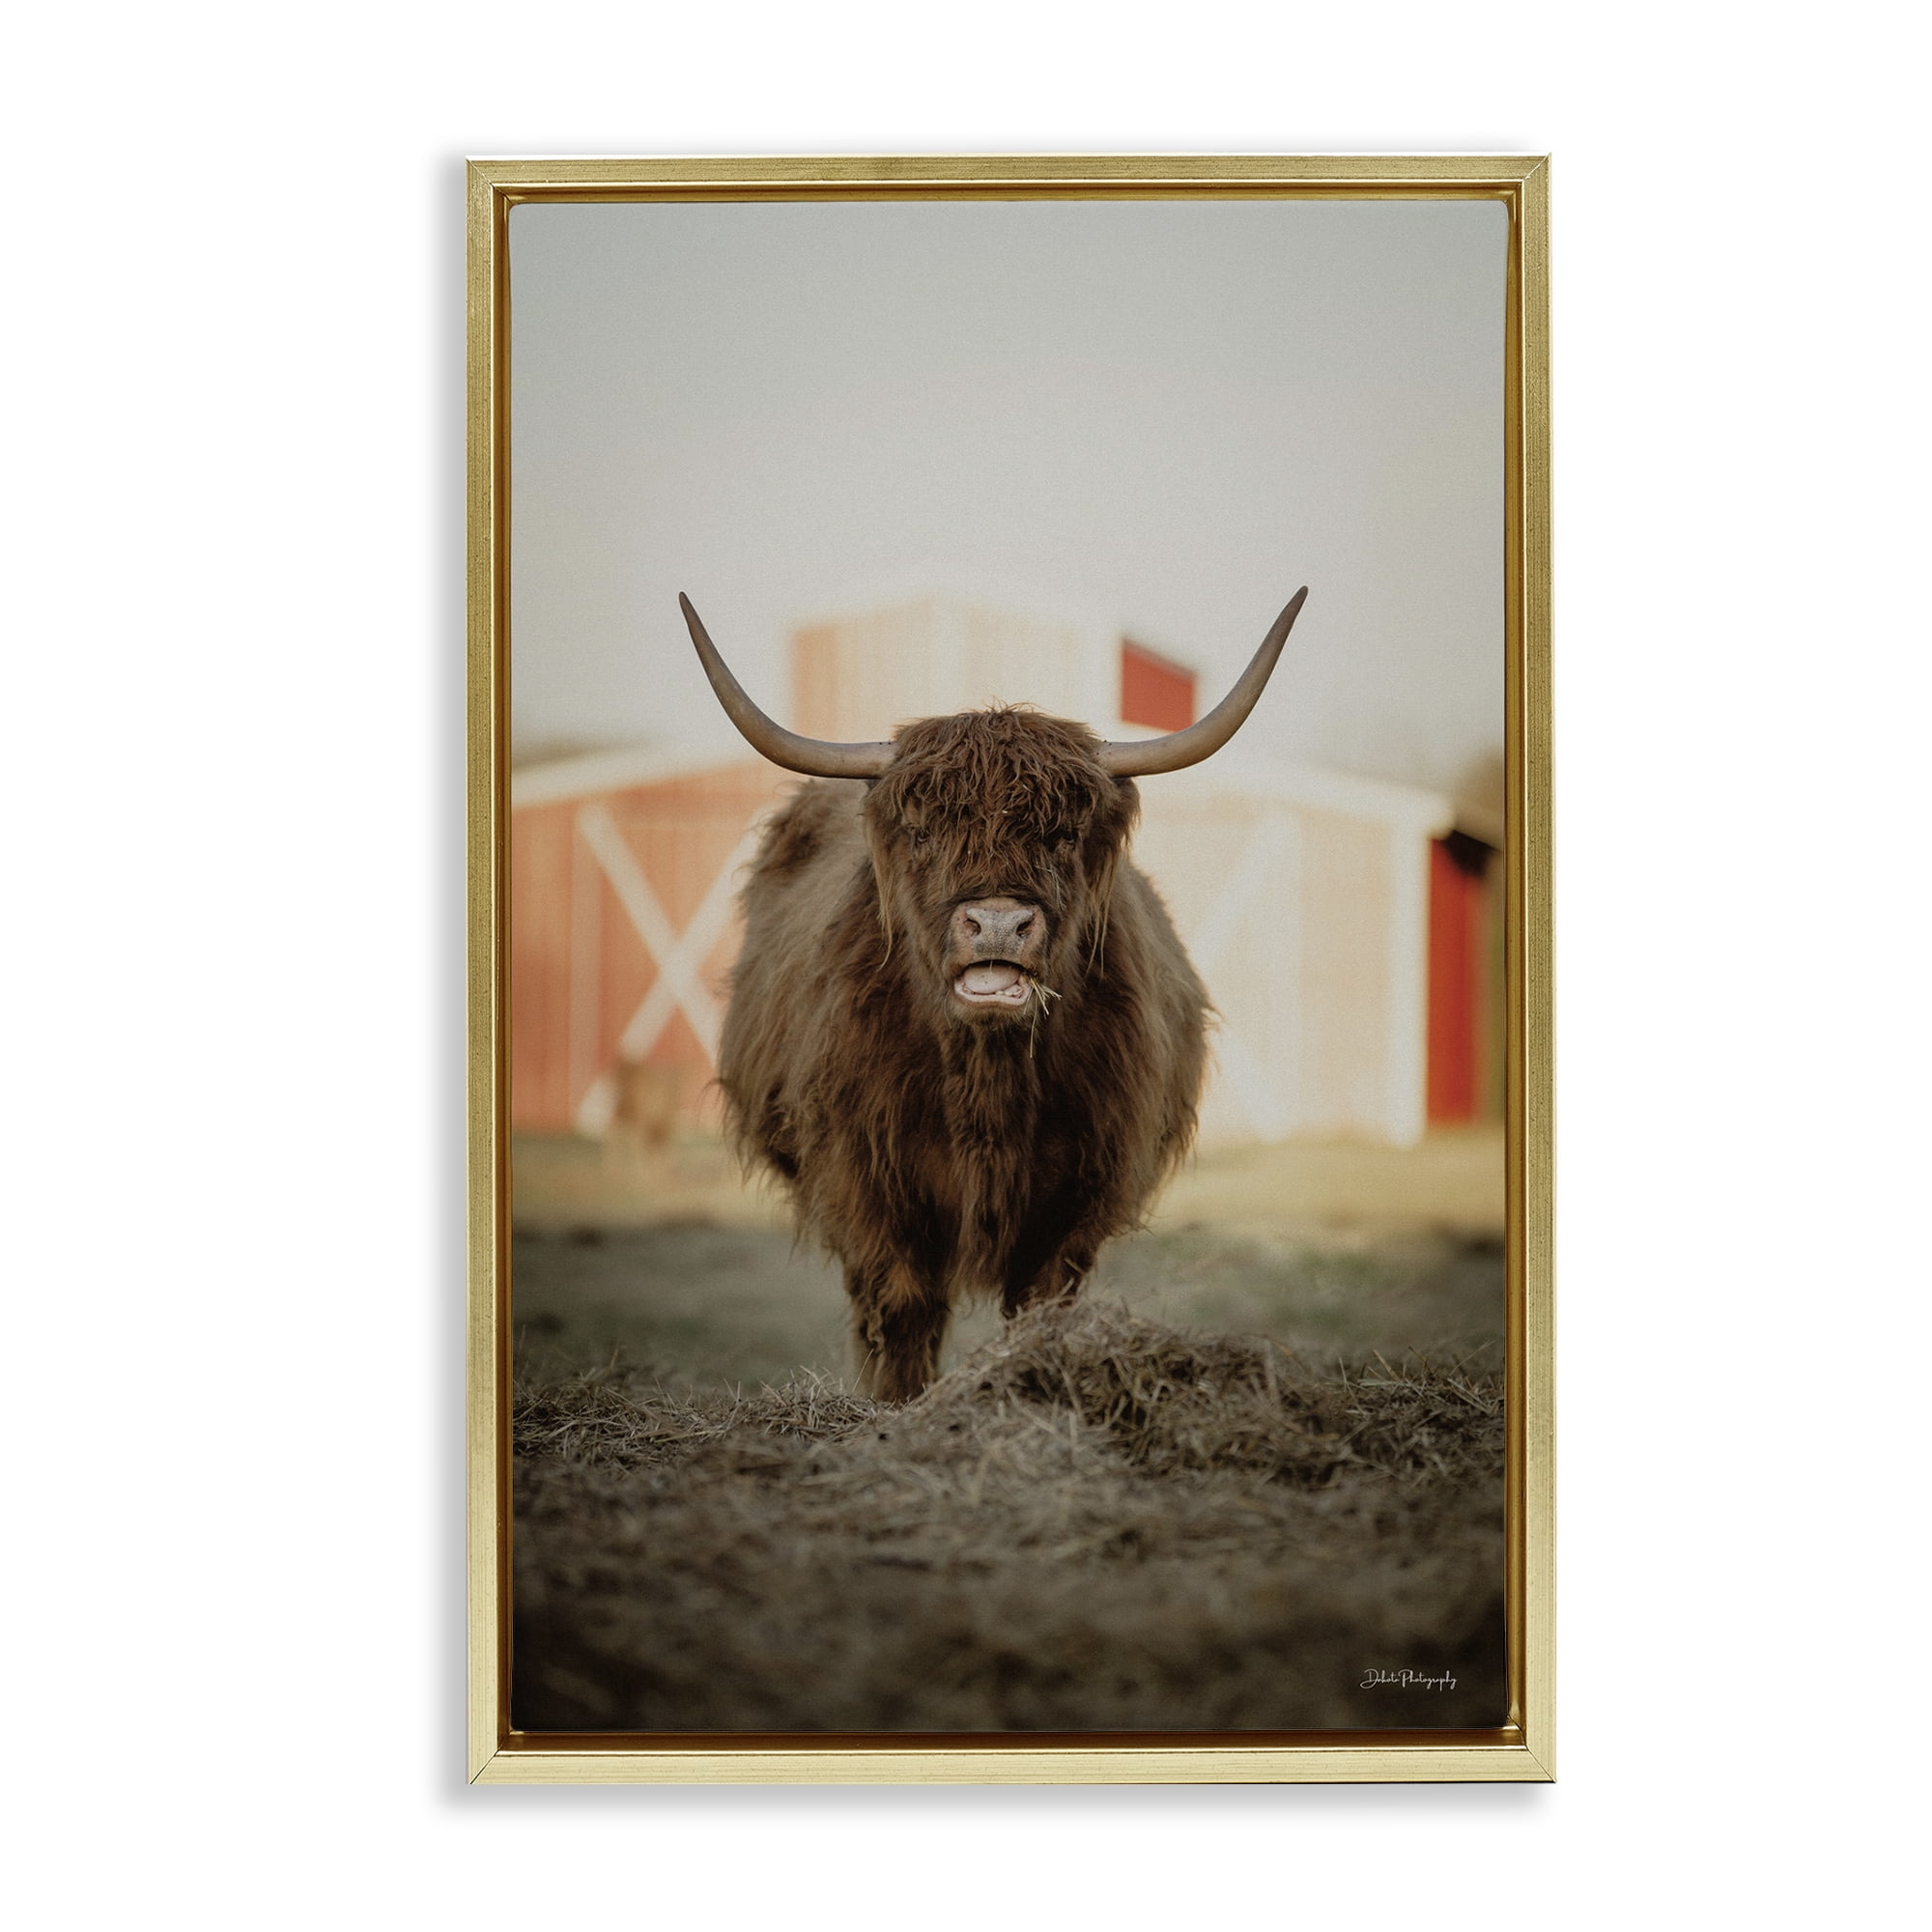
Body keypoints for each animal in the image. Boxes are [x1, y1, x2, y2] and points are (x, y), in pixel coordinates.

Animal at [679, 588, 1307, 1401]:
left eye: (1063, 833)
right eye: (922, 830)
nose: (1000, 923)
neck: (986, 1081)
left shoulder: (1078, 1193)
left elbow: (1039, 1304)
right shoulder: (864, 1180)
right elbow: (901, 1308)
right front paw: (901, 1406)